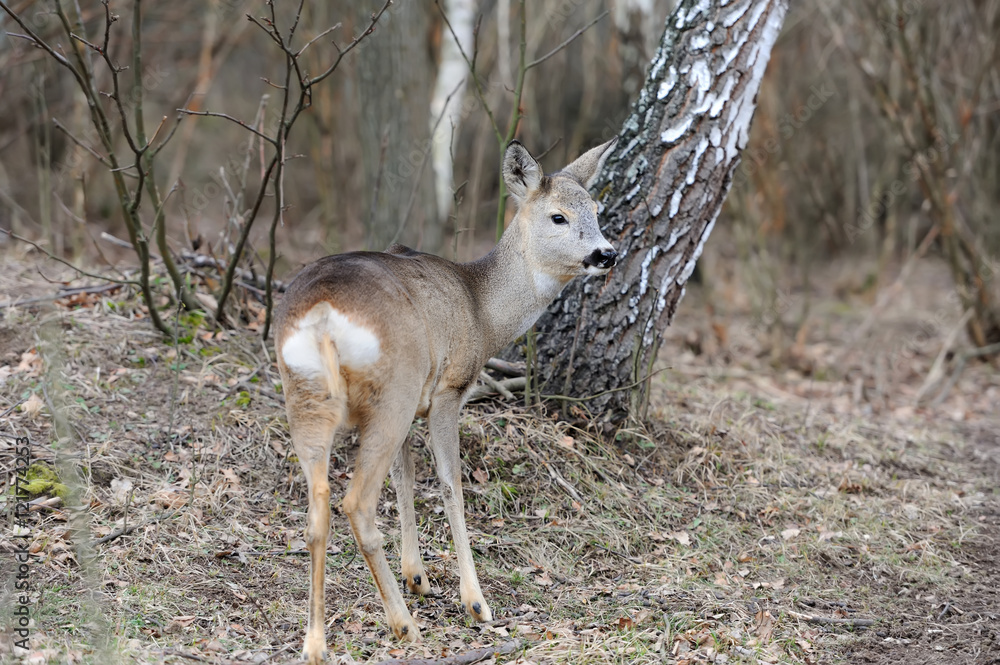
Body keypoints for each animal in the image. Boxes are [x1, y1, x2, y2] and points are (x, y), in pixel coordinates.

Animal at [274, 137, 616, 660]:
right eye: (558, 216)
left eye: (597, 209)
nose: (607, 254)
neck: (482, 311)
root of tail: (324, 317)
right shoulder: (449, 388)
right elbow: (451, 484)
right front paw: (475, 601)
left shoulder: (417, 401)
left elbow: (406, 476)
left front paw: (417, 576)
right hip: (390, 392)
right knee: (356, 502)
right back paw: (404, 626)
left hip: (309, 396)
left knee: (319, 506)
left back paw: (316, 644)